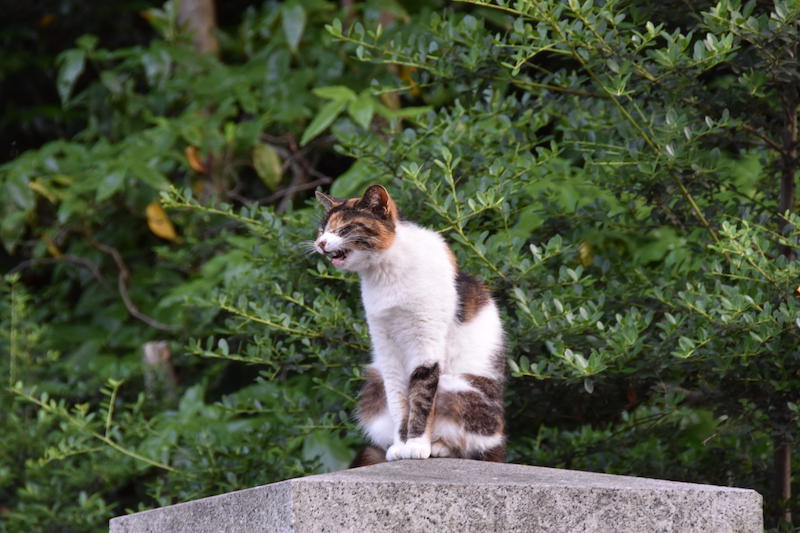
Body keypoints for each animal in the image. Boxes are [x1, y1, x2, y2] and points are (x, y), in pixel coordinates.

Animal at [314, 182, 506, 462]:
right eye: (322, 229)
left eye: (344, 228)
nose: (320, 243)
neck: (385, 273)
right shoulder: (386, 347)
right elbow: (398, 401)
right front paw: (400, 446)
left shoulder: (425, 342)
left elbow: (421, 397)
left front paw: (416, 445)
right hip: (374, 385)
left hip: (458, 387)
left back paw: (438, 447)